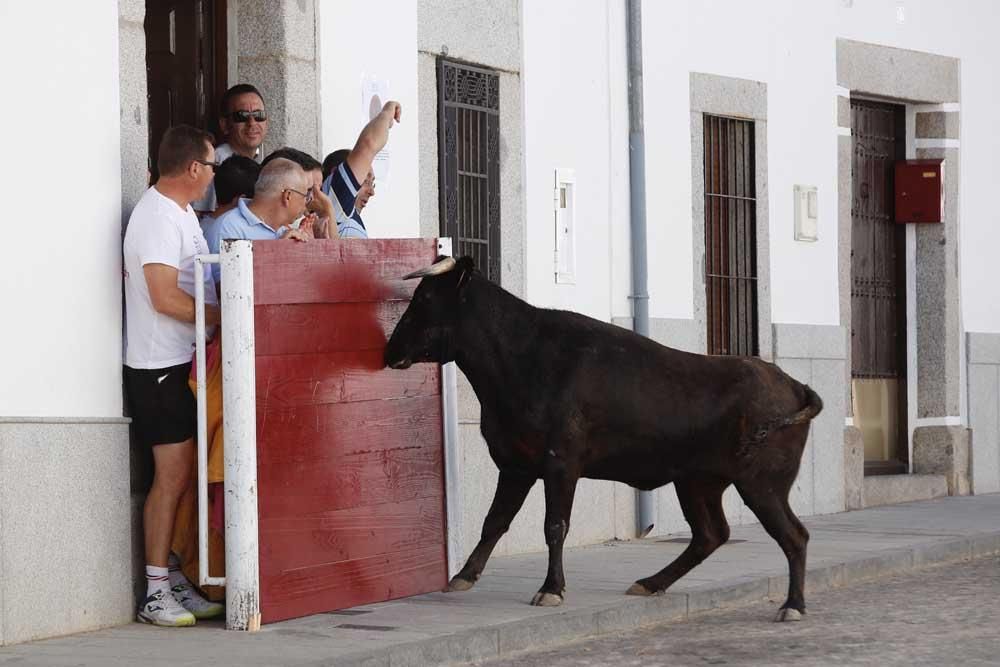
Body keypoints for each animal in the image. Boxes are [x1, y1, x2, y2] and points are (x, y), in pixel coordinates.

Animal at [382, 256, 820, 620]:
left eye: (425, 299)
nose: (389, 350)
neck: (523, 357)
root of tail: (794, 385)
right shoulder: (516, 465)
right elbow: (494, 521)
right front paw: (464, 575)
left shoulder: (561, 462)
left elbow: (554, 524)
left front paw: (552, 588)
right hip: (698, 482)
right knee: (710, 535)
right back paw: (651, 583)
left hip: (762, 484)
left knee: (793, 536)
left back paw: (793, 605)